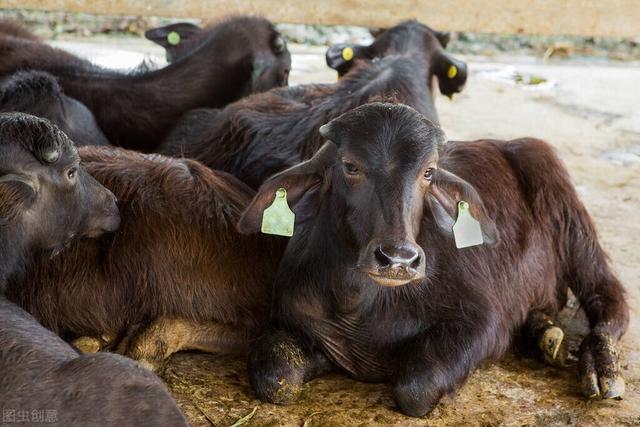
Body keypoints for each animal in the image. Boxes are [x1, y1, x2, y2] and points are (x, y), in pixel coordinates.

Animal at [238, 103, 628, 418]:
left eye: (428, 172)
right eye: (350, 166)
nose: (398, 259)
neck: (359, 305)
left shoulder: (482, 321)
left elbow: (416, 388)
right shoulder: (290, 316)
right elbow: (276, 379)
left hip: (575, 229)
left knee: (608, 301)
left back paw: (602, 369)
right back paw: (545, 334)